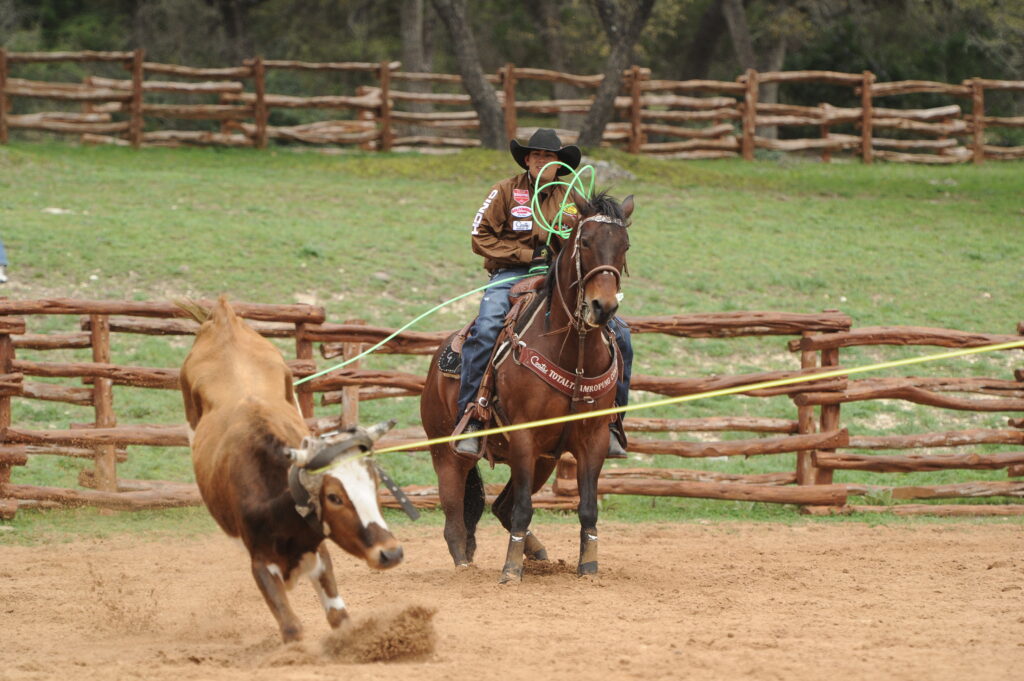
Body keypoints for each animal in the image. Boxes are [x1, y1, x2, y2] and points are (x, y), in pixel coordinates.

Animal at [417, 188, 626, 581]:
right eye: (585, 242)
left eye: (624, 245)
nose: (602, 307)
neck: (572, 351)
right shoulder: (524, 435)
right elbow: (524, 508)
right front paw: (511, 570)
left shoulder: (592, 438)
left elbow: (588, 507)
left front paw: (588, 566)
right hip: (446, 454)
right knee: (455, 522)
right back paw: (465, 568)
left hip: (543, 460)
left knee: (500, 507)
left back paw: (538, 552)